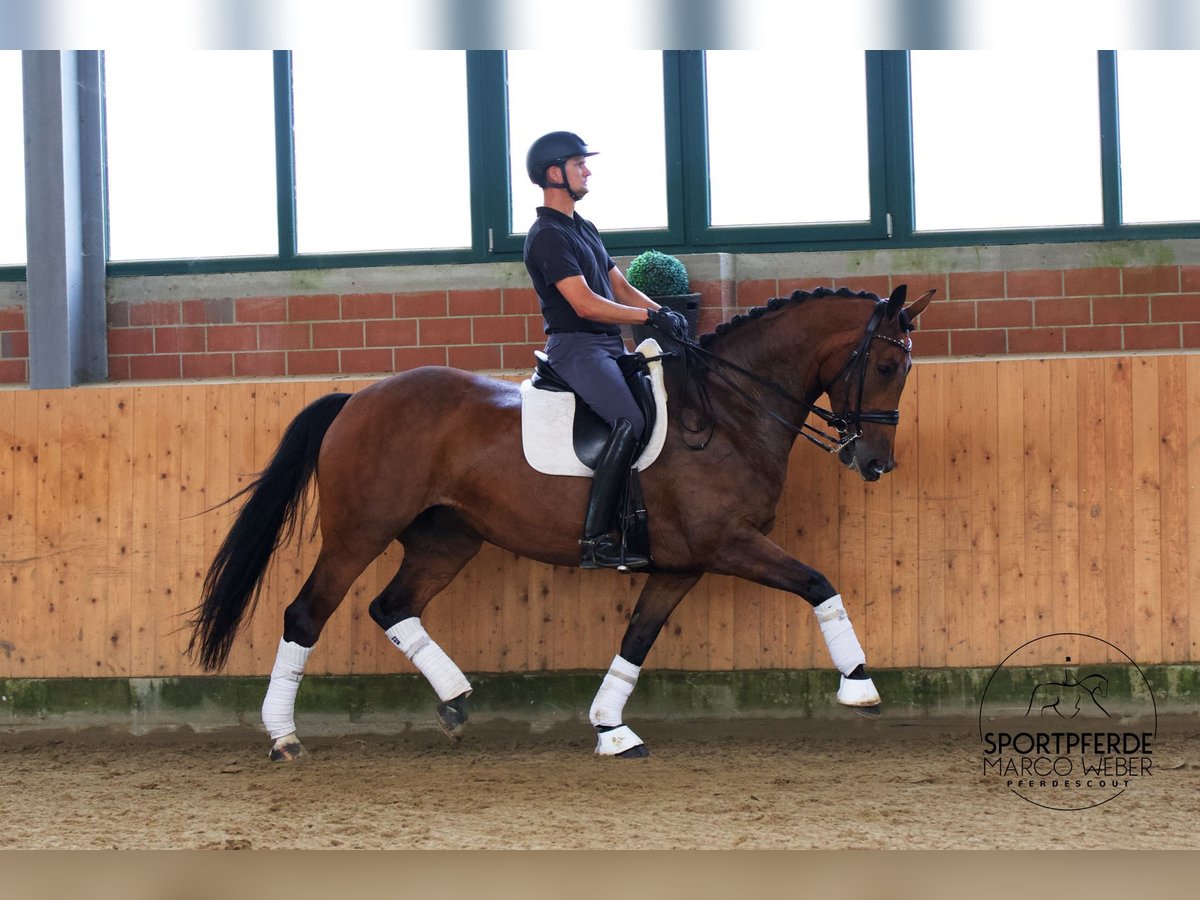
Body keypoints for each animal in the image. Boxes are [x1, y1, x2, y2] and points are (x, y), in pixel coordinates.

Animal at [189, 283, 936, 763]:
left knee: (391, 606)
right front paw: (861, 686)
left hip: (447, 538)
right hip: (358, 534)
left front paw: (610, 728)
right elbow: (818, 582)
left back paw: (455, 701)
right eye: (887, 364)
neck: (727, 409)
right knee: (306, 614)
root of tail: (356, 399)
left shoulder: (683, 563)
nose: (874, 462)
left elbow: (637, 638)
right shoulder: (728, 544)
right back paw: (284, 737)